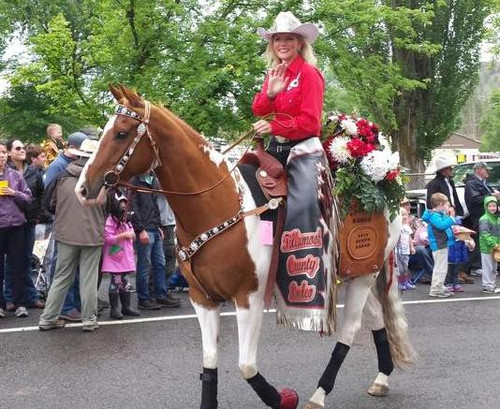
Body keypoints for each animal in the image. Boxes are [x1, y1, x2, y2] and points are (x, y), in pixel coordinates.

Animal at [77, 83, 414, 408]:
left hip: (365, 273)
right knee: (375, 317)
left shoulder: (248, 297)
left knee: (351, 328)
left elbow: (246, 366)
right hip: (353, 273)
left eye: (121, 133)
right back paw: (382, 378)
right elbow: (210, 363)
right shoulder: (203, 298)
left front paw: (284, 398)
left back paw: (319, 394)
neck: (219, 204)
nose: (83, 188)